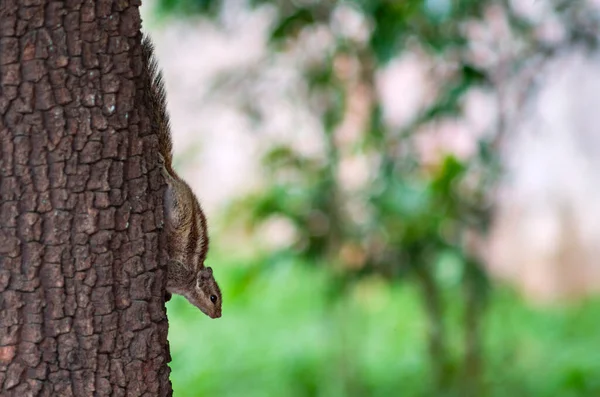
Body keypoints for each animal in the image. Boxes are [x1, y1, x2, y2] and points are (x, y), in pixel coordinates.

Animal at [141, 34, 223, 318]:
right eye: (213, 297)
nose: (218, 315)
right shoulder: (177, 272)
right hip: (178, 207)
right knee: (170, 182)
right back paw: (164, 173)